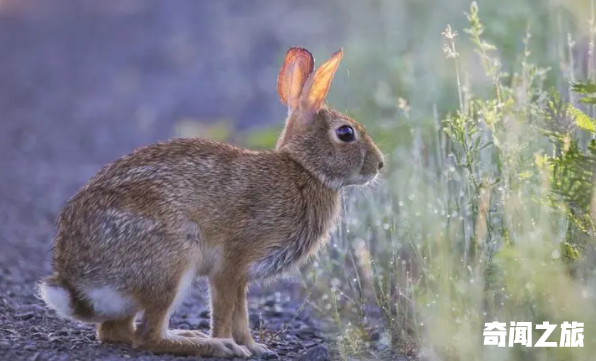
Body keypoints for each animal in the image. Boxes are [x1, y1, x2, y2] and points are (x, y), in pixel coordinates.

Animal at [39, 45, 386, 358]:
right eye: (345, 133)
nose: (380, 164)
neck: (304, 169)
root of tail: (76, 281)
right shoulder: (231, 265)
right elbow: (224, 313)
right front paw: (232, 345)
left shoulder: (242, 277)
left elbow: (241, 315)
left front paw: (255, 347)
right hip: (173, 260)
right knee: (148, 336)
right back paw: (209, 345)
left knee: (117, 332)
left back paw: (190, 335)